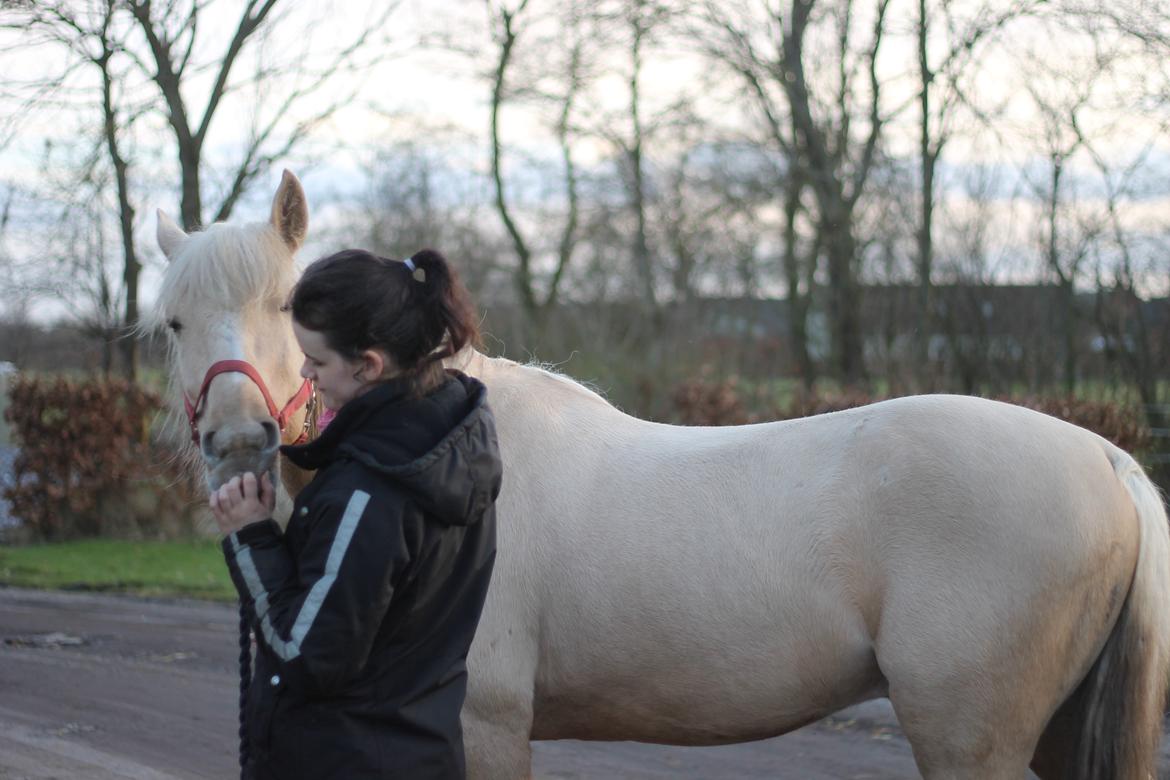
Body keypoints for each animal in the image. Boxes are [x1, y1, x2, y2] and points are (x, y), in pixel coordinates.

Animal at [153, 171, 1170, 780]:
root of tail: (1110, 459)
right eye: (171, 322)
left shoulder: (485, 728)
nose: (238, 441)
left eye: (285, 307)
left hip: (974, 743)